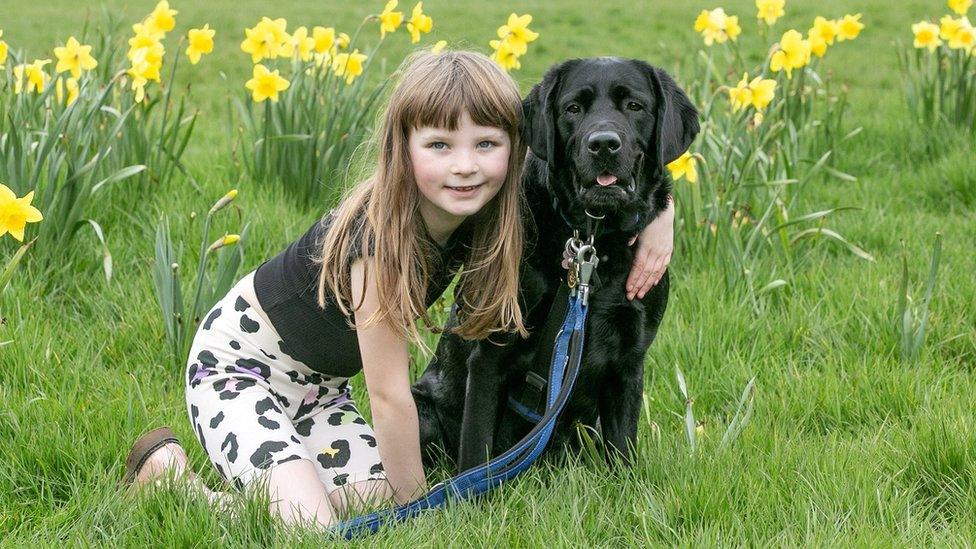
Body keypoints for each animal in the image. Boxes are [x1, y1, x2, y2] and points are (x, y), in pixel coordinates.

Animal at [414, 58, 700, 470]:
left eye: (634, 106)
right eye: (572, 108)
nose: (603, 143)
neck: (593, 244)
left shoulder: (630, 358)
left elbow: (623, 449)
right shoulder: (490, 355)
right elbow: (476, 451)